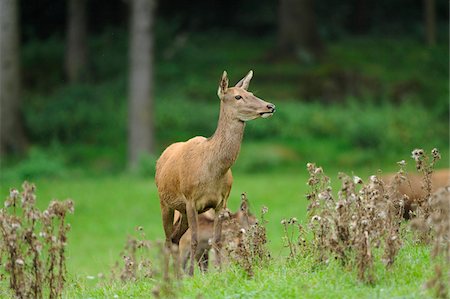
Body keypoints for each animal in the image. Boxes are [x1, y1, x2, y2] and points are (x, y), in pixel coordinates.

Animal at [155, 70, 274, 276]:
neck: (212, 170)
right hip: (165, 203)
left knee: (175, 239)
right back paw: (171, 276)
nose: (270, 106)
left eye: (251, 93)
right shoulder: (190, 200)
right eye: (238, 96)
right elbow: (195, 241)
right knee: (168, 240)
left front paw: (218, 274)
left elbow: (217, 241)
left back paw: (178, 276)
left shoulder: (221, 202)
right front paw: (192, 276)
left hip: (182, 211)